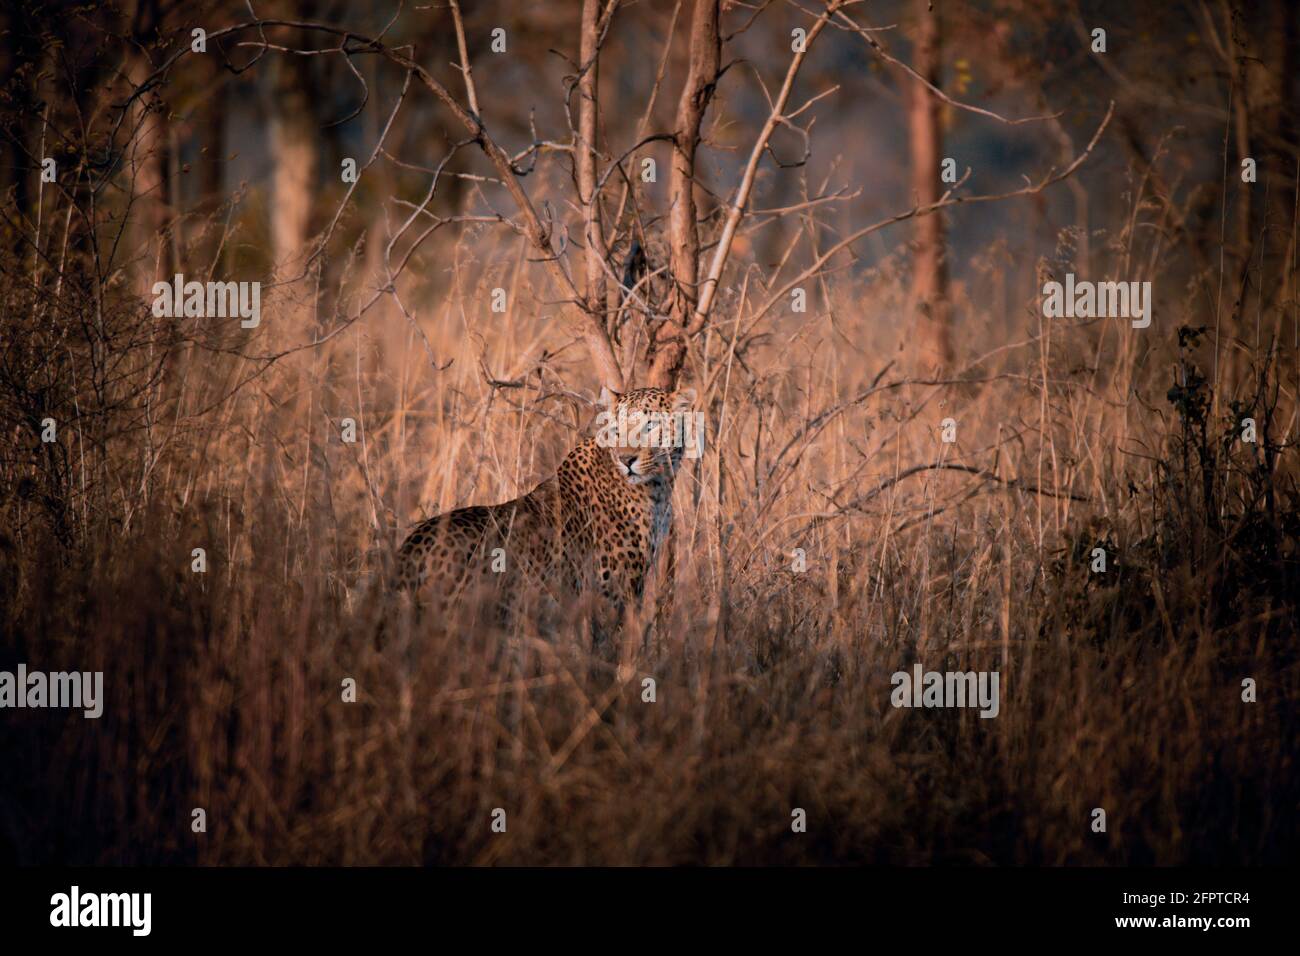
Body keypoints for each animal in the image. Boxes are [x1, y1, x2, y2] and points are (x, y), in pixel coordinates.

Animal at [392, 385, 696, 632]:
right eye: (617, 431)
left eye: (650, 426)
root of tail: (410, 549)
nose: (626, 459)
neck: (658, 487)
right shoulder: (611, 597)